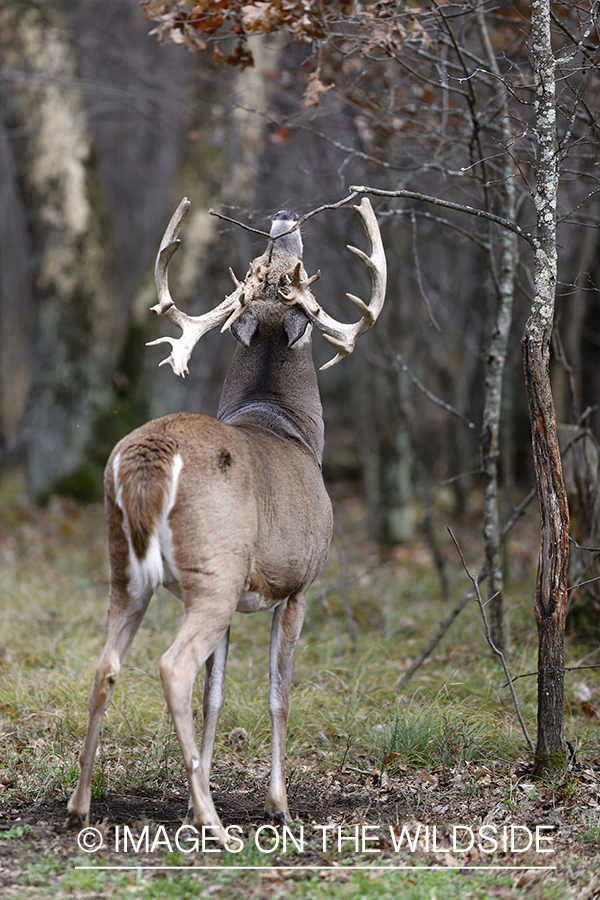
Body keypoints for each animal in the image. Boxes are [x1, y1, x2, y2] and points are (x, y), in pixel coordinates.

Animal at [64, 195, 384, 844]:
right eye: (284, 259)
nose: (284, 216)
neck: (283, 422)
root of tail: (150, 457)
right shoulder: (298, 582)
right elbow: (279, 693)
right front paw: (276, 804)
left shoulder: (241, 595)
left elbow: (216, 695)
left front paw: (199, 791)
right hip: (212, 572)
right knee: (172, 667)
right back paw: (214, 824)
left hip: (128, 569)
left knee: (106, 664)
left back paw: (81, 807)